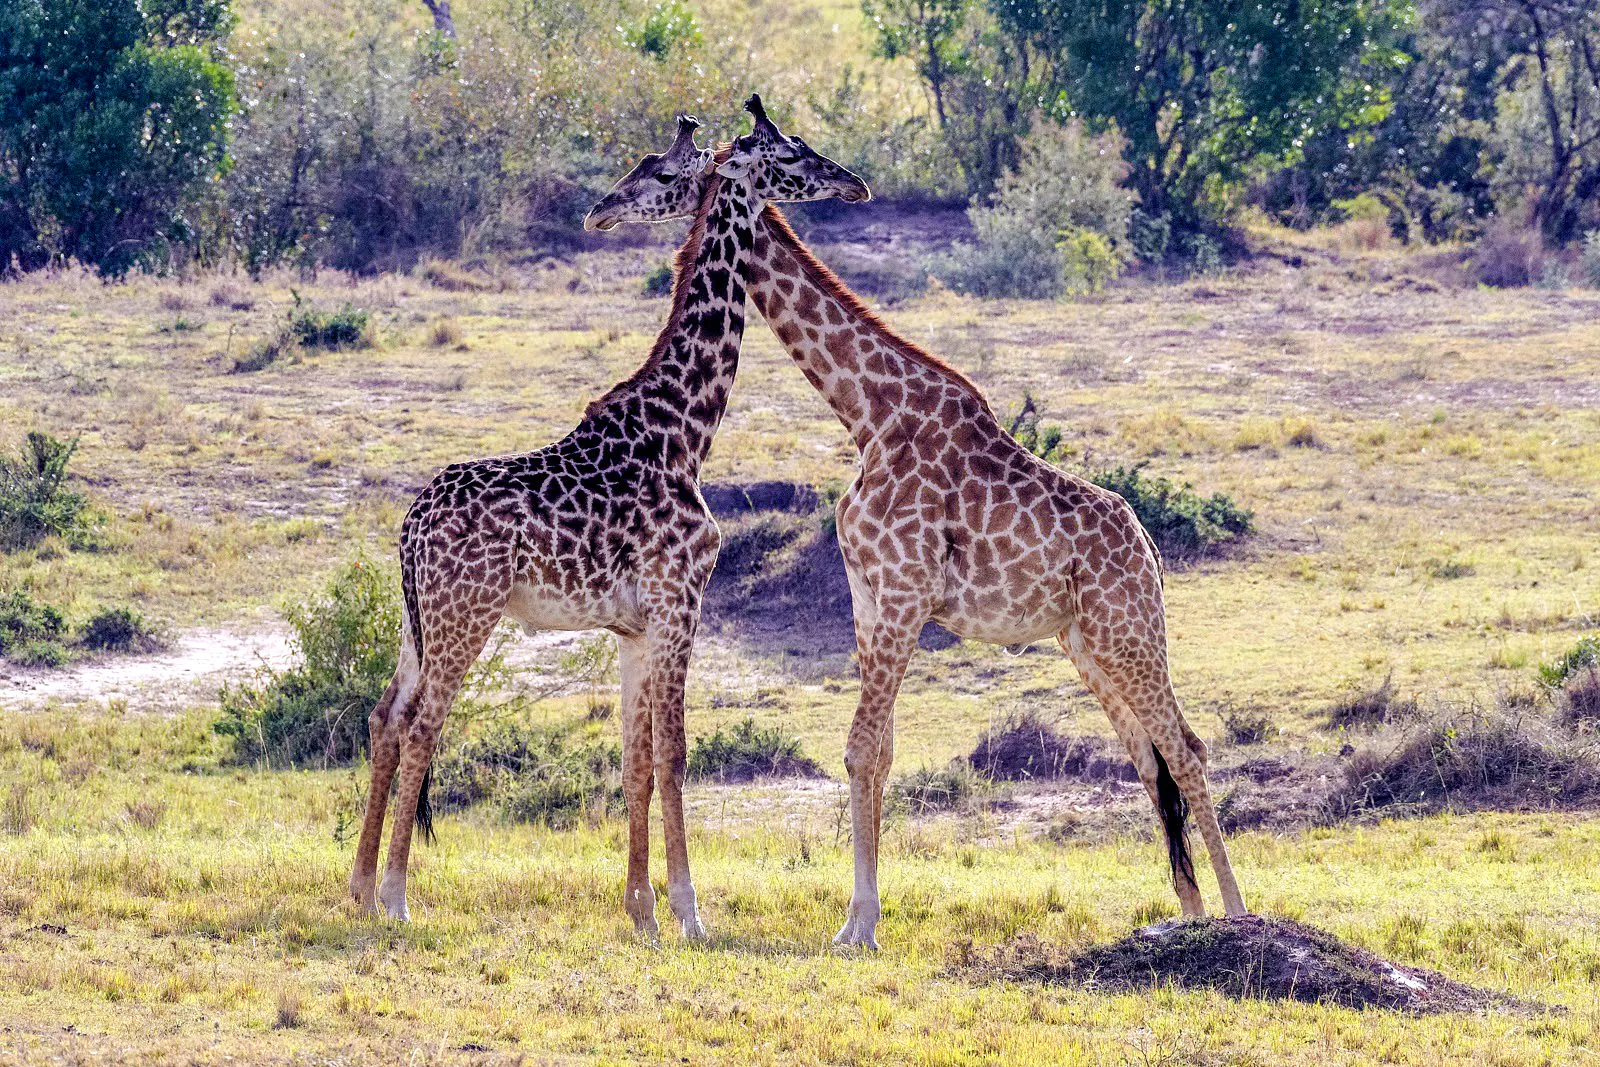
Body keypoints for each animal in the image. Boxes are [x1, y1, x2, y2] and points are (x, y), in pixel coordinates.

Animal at [347, 105, 869, 936]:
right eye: (791, 153)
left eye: (657, 171)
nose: (853, 183)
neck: (682, 431)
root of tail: (409, 530)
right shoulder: (680, 601)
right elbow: (676, 753)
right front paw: (689, 911)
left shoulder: (633, 626)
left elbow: (635, 760)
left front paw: (640, 910)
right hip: (467, 614)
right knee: (426, 723)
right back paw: (398, 896)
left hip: (415, 621)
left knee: (384, 717)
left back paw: (361, 886)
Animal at [594, 126, 1248, 949]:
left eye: (660, 171)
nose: (600, 211)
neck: (869, 413)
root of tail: (1151, 551)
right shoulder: (871, 597)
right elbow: (877, 754)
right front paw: (860, 916)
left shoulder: (905, 596)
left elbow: (860, 748)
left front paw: (859, 927)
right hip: (1088, 643)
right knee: (1151, 757)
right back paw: (1188, 918)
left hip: (1128, 631)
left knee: (1187, 748)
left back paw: (1236, 914)